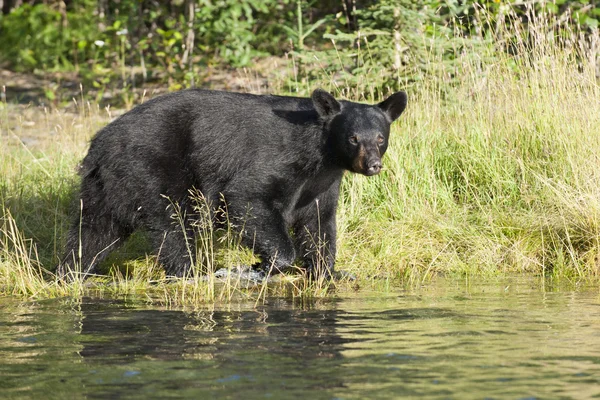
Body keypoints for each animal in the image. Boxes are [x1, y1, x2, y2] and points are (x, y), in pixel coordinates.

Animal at [57, 89, 408, 280]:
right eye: (353, 138)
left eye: (380, 138)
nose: (373, 165)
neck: (320, 153)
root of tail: (99, 145)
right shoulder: (278, 159)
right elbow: (248, 198)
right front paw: (263, 265)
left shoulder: (322, 182)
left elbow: (318, 223)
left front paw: (327, 270)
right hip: (151, 168)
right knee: (174, 224)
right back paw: (191, 273)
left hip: (108, 185)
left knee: (94, 230)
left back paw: (71, 271)